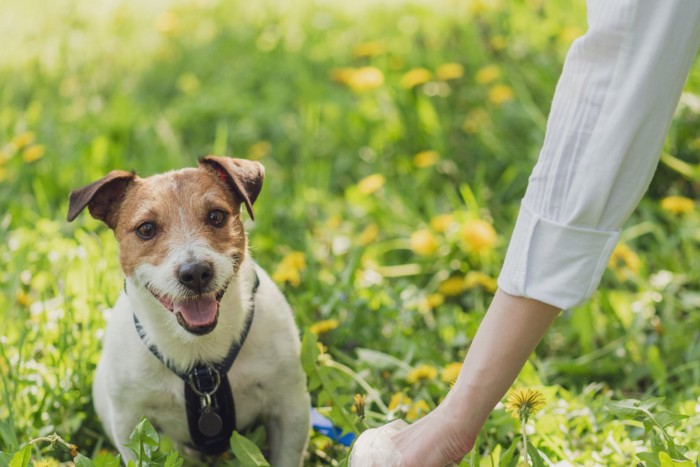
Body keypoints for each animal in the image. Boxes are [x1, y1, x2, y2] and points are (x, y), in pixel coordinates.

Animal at [67, 158, 308, 467]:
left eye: (216, 216)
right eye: (146, 229)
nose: (195, 273)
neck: (199, 356)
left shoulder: (290, 408)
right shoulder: (130, 422)